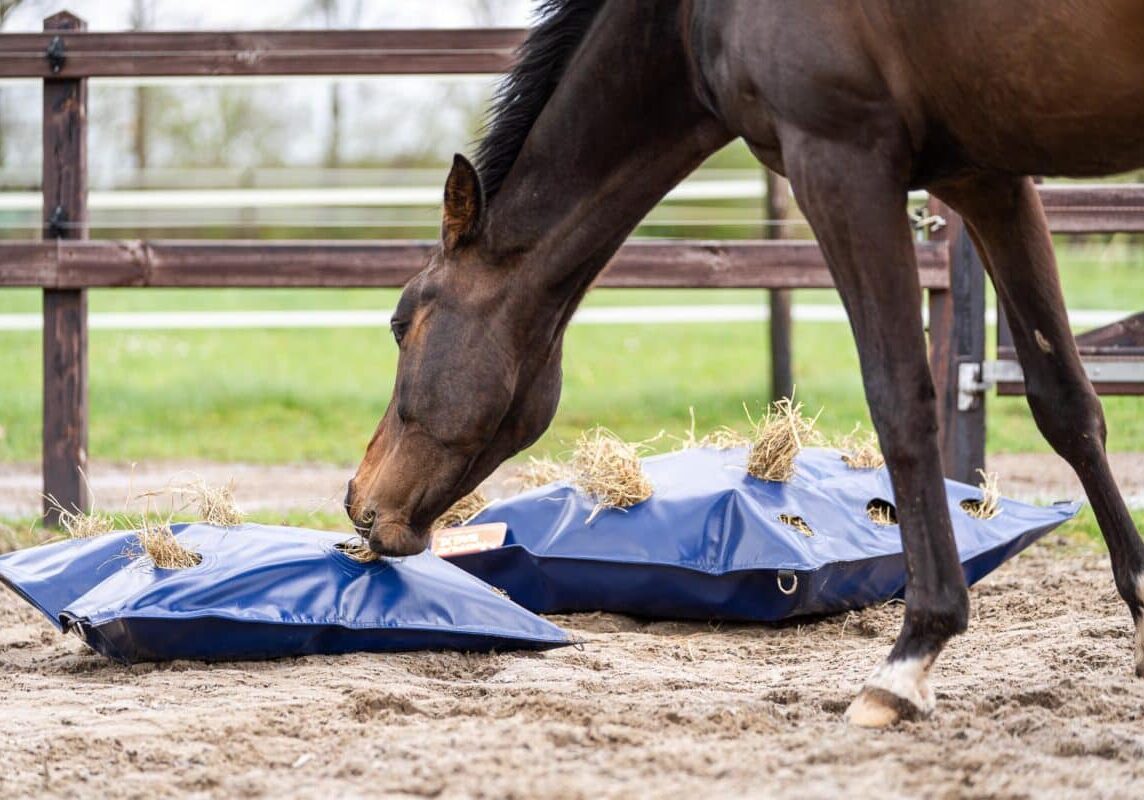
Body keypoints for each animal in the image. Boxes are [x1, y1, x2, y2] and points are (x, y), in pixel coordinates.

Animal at [346, 0, 1144, 727]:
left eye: (400, 322)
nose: (358, 499)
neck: (691, 16)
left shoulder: (840, 158)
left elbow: (900, 399)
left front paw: (909, 659)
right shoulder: (987, 176)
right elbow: (1065, 401)